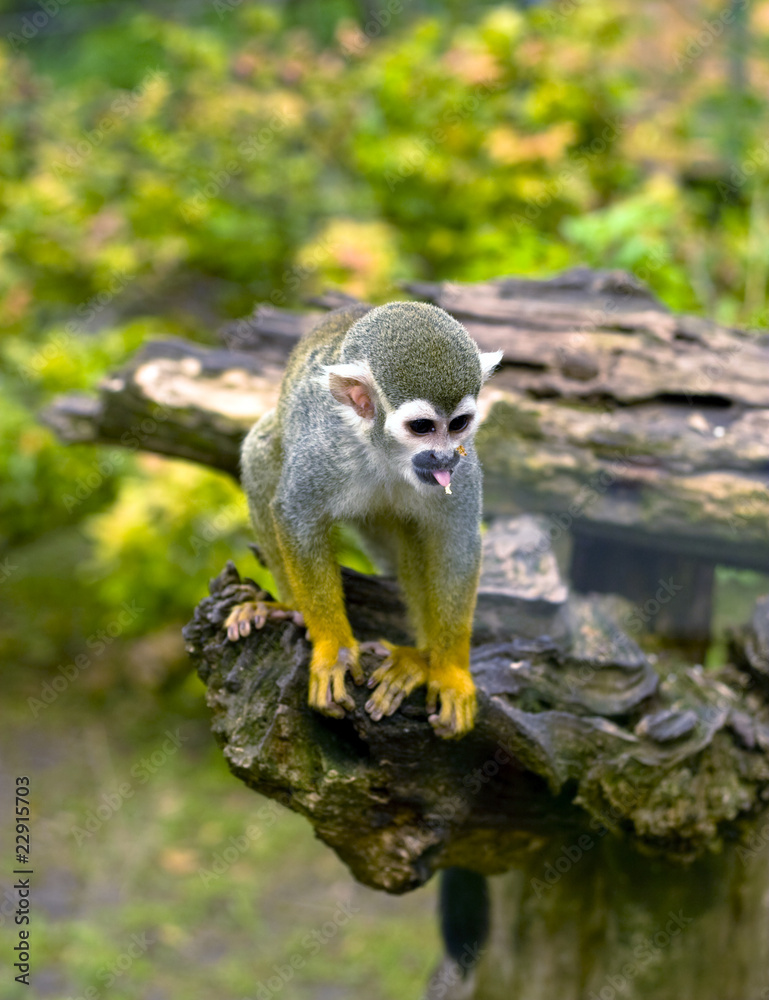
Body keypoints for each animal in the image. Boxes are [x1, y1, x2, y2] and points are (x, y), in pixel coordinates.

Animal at [224, 301, 501, 738]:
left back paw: (418, 659)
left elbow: (454, 544)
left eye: (458, 424)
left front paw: (451, 672)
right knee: (262, 446)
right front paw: (334, 650)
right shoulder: (324, 449)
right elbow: (296, 515)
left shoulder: (465, 464)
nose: (443, 457)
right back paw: (289, 609)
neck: (387, 454)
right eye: (422, 427)